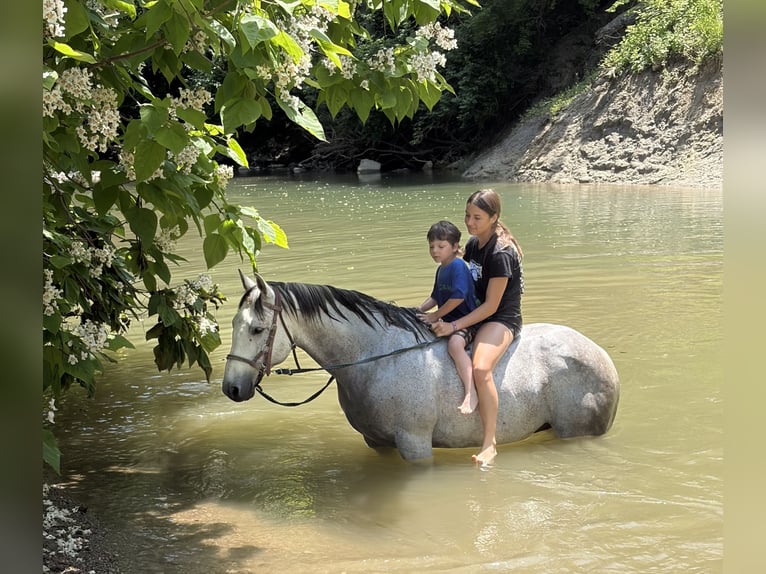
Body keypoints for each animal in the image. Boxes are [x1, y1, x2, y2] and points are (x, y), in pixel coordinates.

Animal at [222, 272, 620, 462]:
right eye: (235, 324)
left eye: (257, 329)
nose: (232, 388)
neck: (376, 357)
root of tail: (602, 357)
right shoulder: (376, 443)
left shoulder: (415, 446)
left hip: (576, 433)